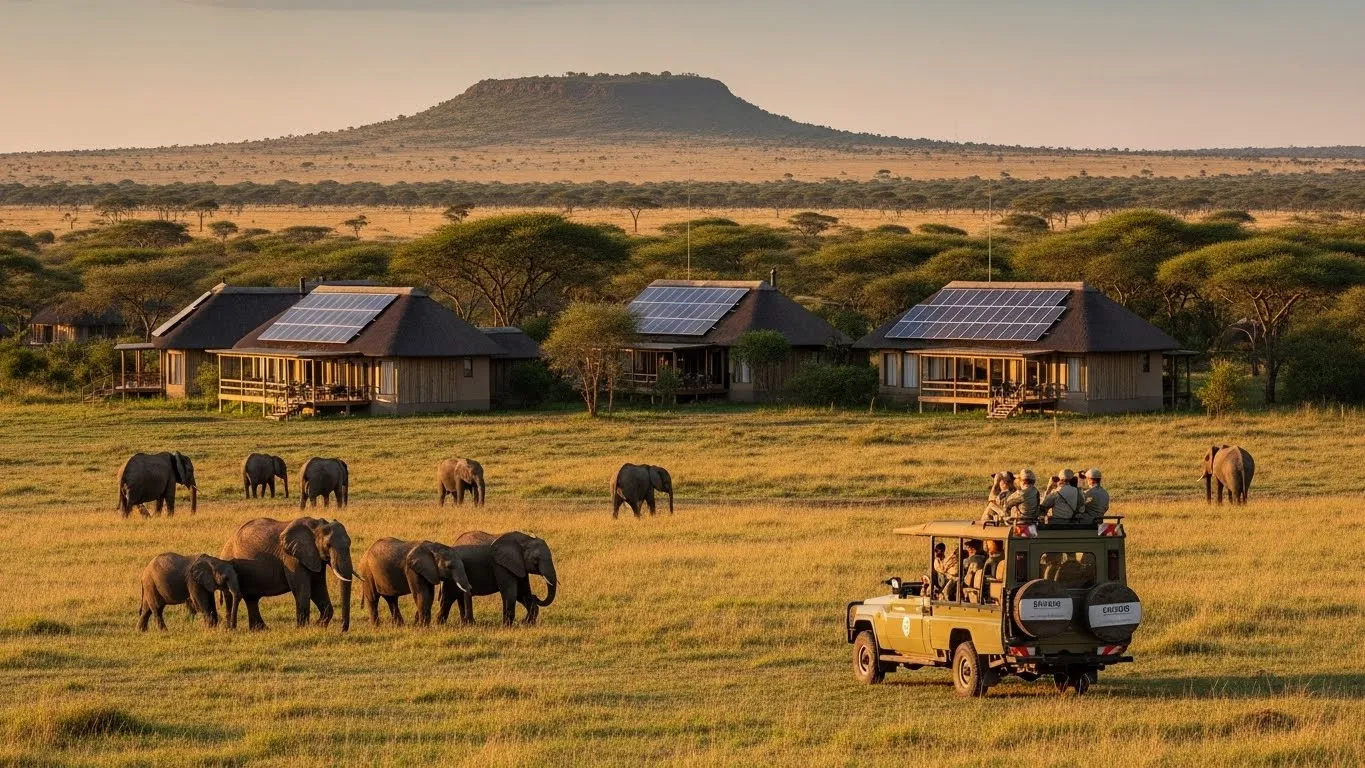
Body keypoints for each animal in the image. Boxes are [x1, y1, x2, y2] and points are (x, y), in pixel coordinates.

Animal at [220, 516, 357, 631]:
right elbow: (303, 589)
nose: (342, 629)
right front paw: (303, 629)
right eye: (328, 545)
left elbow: (318, 588)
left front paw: (318, 626)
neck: (316, 526)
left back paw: (260, 630)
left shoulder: (315, 556)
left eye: (350, 543)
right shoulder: (292, 558)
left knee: (251, 598)